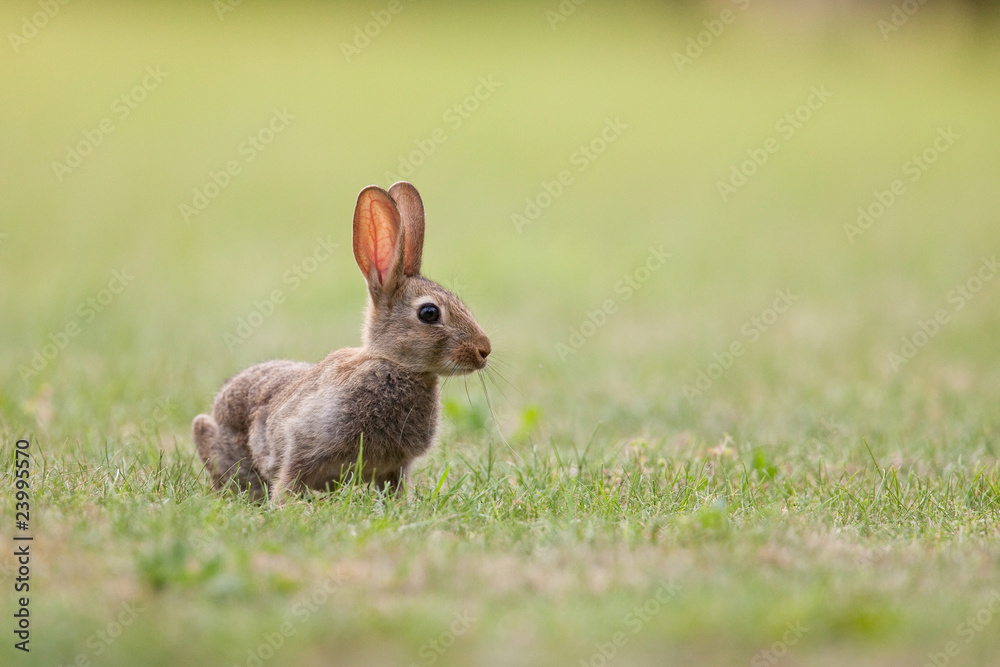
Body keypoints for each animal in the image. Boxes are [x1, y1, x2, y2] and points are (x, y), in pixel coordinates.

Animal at [192, 181, 491, 502]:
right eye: (429, 313)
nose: (484, 350)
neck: (394, 364)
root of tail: (216, 408)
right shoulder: (301, 442)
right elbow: (289, 476)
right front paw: (286, 506)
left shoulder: (396, 467)